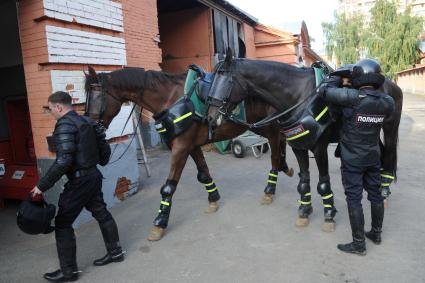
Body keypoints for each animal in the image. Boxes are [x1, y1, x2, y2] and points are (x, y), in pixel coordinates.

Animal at [84, 66, 294, 242]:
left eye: (95, 97)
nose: (91, 126)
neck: (170, 98)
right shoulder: (191, 146)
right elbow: (203, 173)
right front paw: (213, 199)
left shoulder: (181, 148)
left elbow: (169, 187)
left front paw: (159, 223)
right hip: (260, 126)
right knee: (279, 142)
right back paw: (283, 168)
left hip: (269, 124)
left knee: (275, 150)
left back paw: (270, 188)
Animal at [205, 54, 400, 232]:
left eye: (224, 79)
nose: (210, 118)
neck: (299, 96)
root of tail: (391, 84)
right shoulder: (298, 147)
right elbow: (304, 181)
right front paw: (304, 211)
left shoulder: (320, 149)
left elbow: (323, 183)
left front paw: (329, 215)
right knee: (379, 153)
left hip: (390, 128)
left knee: (389, 154)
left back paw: (384, 191)